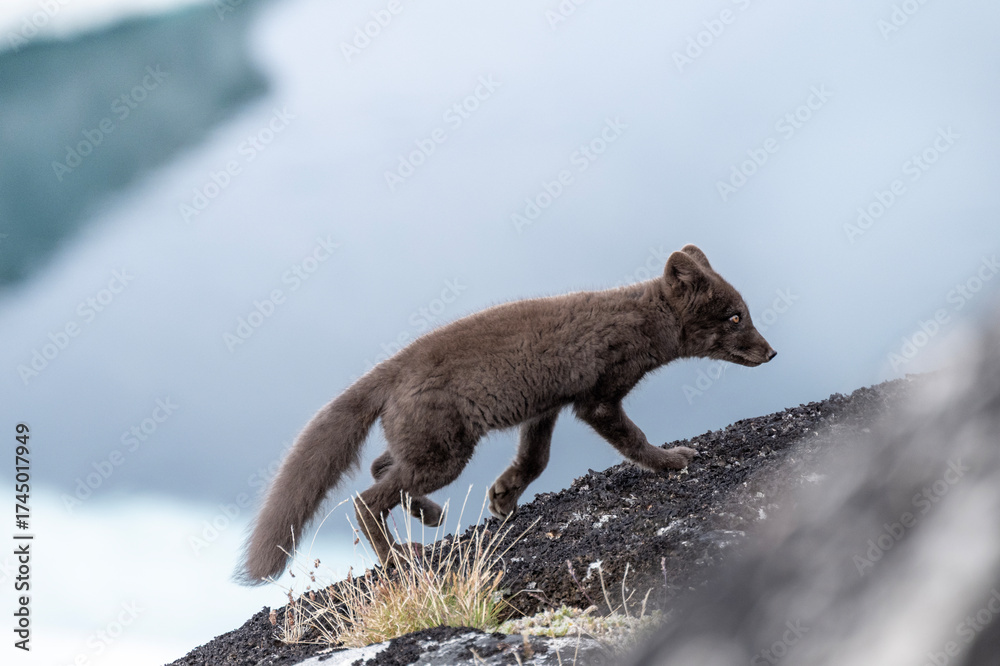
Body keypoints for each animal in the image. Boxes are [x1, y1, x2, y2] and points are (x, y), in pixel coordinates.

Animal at [237, 244, 777, 584]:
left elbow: (534, 460)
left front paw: (501, 498)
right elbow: (634, 440)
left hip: (429, 449)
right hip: (446, 456)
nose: (772, 353)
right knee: (367, 499)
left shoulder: (546, 408)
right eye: (735, 317)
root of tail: (391, 368)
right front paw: (673, 460)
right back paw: (397, 558)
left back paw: (429, 515)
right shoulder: (597, 399)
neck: (641, 321)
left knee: (382, 468)